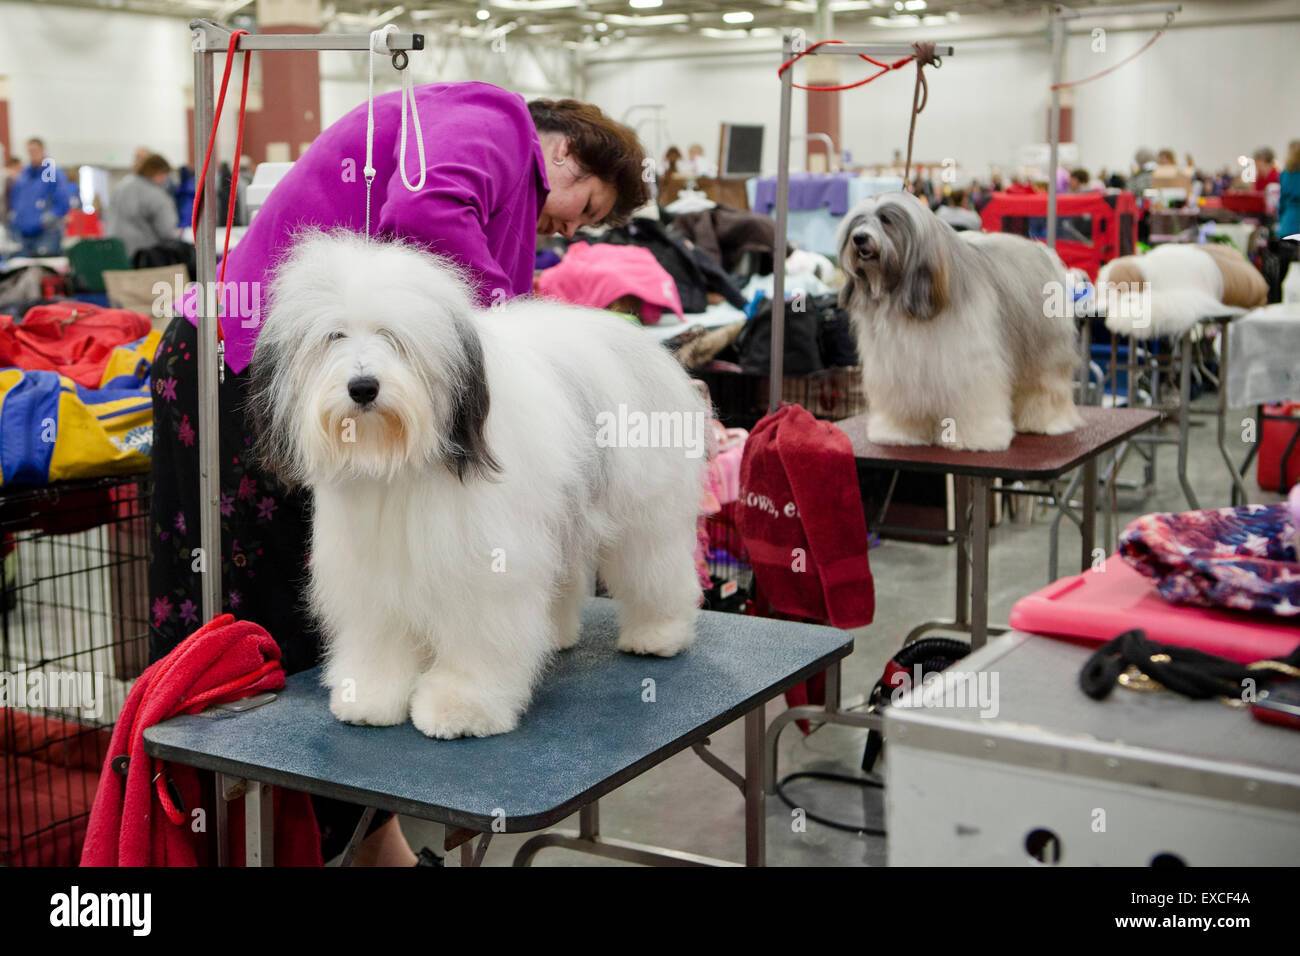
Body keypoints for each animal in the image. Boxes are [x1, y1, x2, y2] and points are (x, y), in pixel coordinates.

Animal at [246, 230, 707, 738]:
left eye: (393, 338)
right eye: (334, 336)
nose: (363, 387)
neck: (402, 465)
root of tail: (643, 342)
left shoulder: (484, 567)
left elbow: (478, 639)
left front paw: (462, 707)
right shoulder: (373, 569)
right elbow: (380, 635)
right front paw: (369, 695)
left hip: (644, 514)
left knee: (657, 569)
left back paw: (658, 634)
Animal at [837, 192, 1081, 455]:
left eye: (886, 220)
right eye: (858, 222)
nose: (859, 237)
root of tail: (1043, 250)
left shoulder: (970, 364)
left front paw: (978, 438)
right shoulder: (899, 370)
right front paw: (900, 433)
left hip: (1045, 352)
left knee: (1045, 387)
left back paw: (1047, 421)